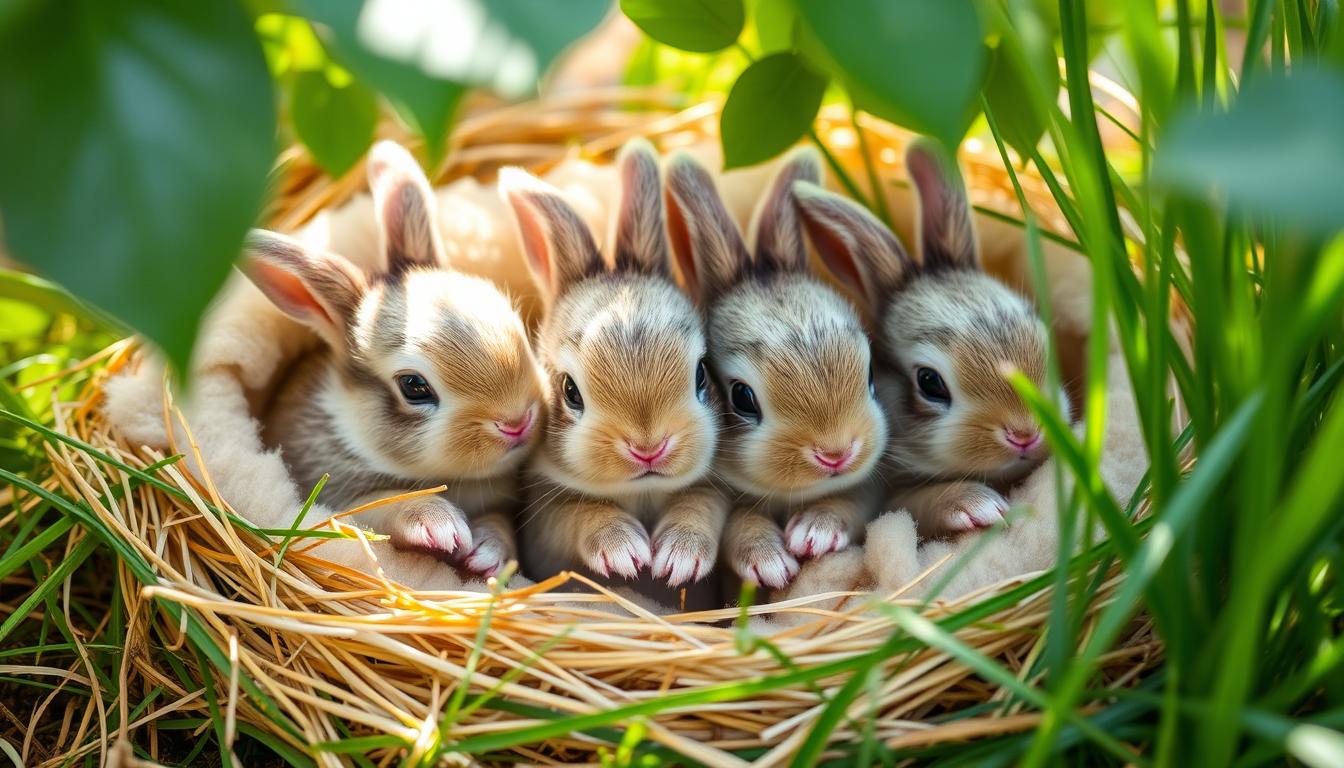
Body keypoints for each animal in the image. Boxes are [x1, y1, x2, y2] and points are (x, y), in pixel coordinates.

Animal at [239, 141, 542, 581]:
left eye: (514, 321)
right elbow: (382, 505)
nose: (518, 422)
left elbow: (500, 523)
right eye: (413, 386)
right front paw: (439, 525)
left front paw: (488, 552)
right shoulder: (341, 501)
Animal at [499, 139, 731, 599]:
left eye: (701, 373)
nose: (648, 447)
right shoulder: (547, 516)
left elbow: (698, 507)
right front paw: (624, 551)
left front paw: (679, 558)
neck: (643, 490)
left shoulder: (712, 492)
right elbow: (582, 514)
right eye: (570, 392)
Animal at [663, 147, 892, 589]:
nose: (835, 454)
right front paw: (770, 564)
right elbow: (744, 528)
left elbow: (845, 505)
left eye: (872, 373)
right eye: (742, 397)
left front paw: (814, 533)